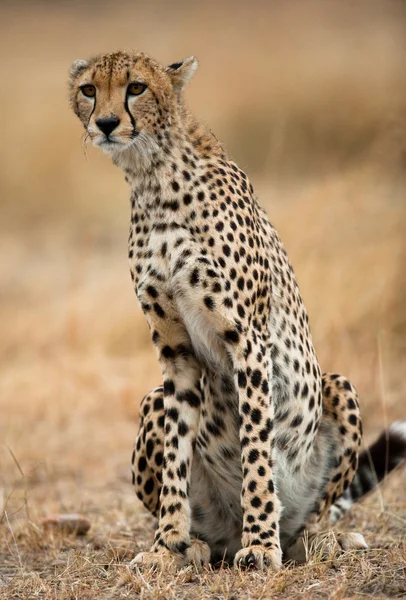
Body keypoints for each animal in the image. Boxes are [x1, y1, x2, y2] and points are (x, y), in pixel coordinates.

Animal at [68, 51, 404, 572]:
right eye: (89, 89)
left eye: (136, 87)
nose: (105, 123)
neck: (152, 175)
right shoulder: (175, 352)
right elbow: (177, 455)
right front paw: (166, 546)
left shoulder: (246, 337)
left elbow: (257, 448)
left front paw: (261, 543)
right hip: (151, 401)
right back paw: (199, 543)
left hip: (337, 387)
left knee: (314, 514)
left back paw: (312, 539)